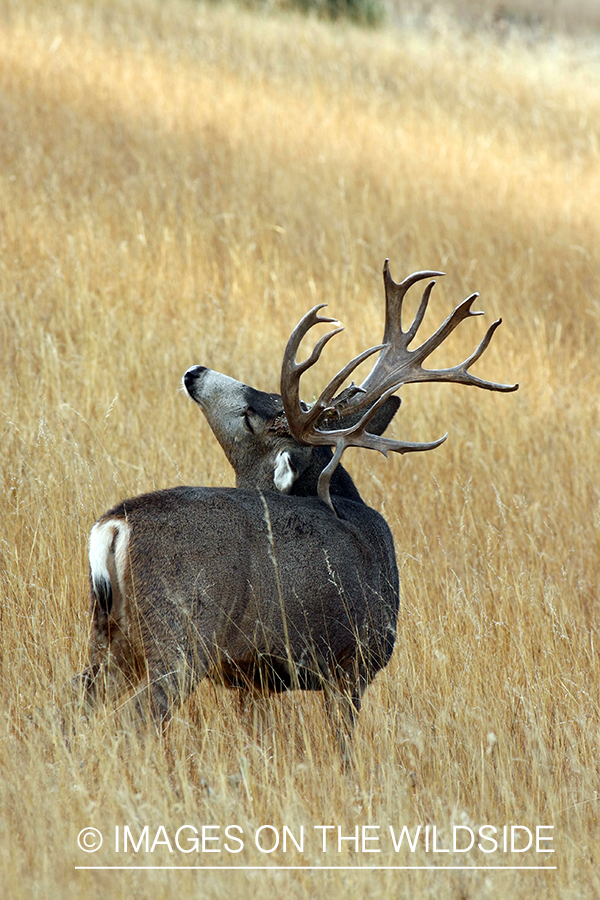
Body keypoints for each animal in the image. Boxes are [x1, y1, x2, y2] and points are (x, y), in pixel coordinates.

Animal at [75, 260, 517, 758]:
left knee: (75, 700)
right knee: (138, 716)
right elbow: (344, 751)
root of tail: (115, 524)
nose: (195, 371)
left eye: (254, 411)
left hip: (111, 631)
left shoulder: (253, 678)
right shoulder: (352, 662)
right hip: (181, 632)